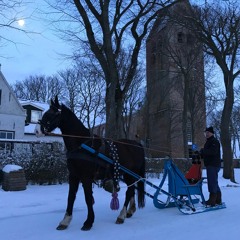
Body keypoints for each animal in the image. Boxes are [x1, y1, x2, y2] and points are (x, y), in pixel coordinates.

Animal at [38, 95, 145, 231]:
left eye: (53, 114)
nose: (38, 130)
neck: (82, 144)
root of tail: (137, 144)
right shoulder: (73, 175)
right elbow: (71, 197)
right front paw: (65, 221)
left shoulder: (86, 177)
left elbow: (88, 198)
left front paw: (88, 222)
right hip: (127, 174)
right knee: (132, 189)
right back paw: (130, 211)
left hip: (130, 174)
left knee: (129, 191)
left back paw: (121, 215)